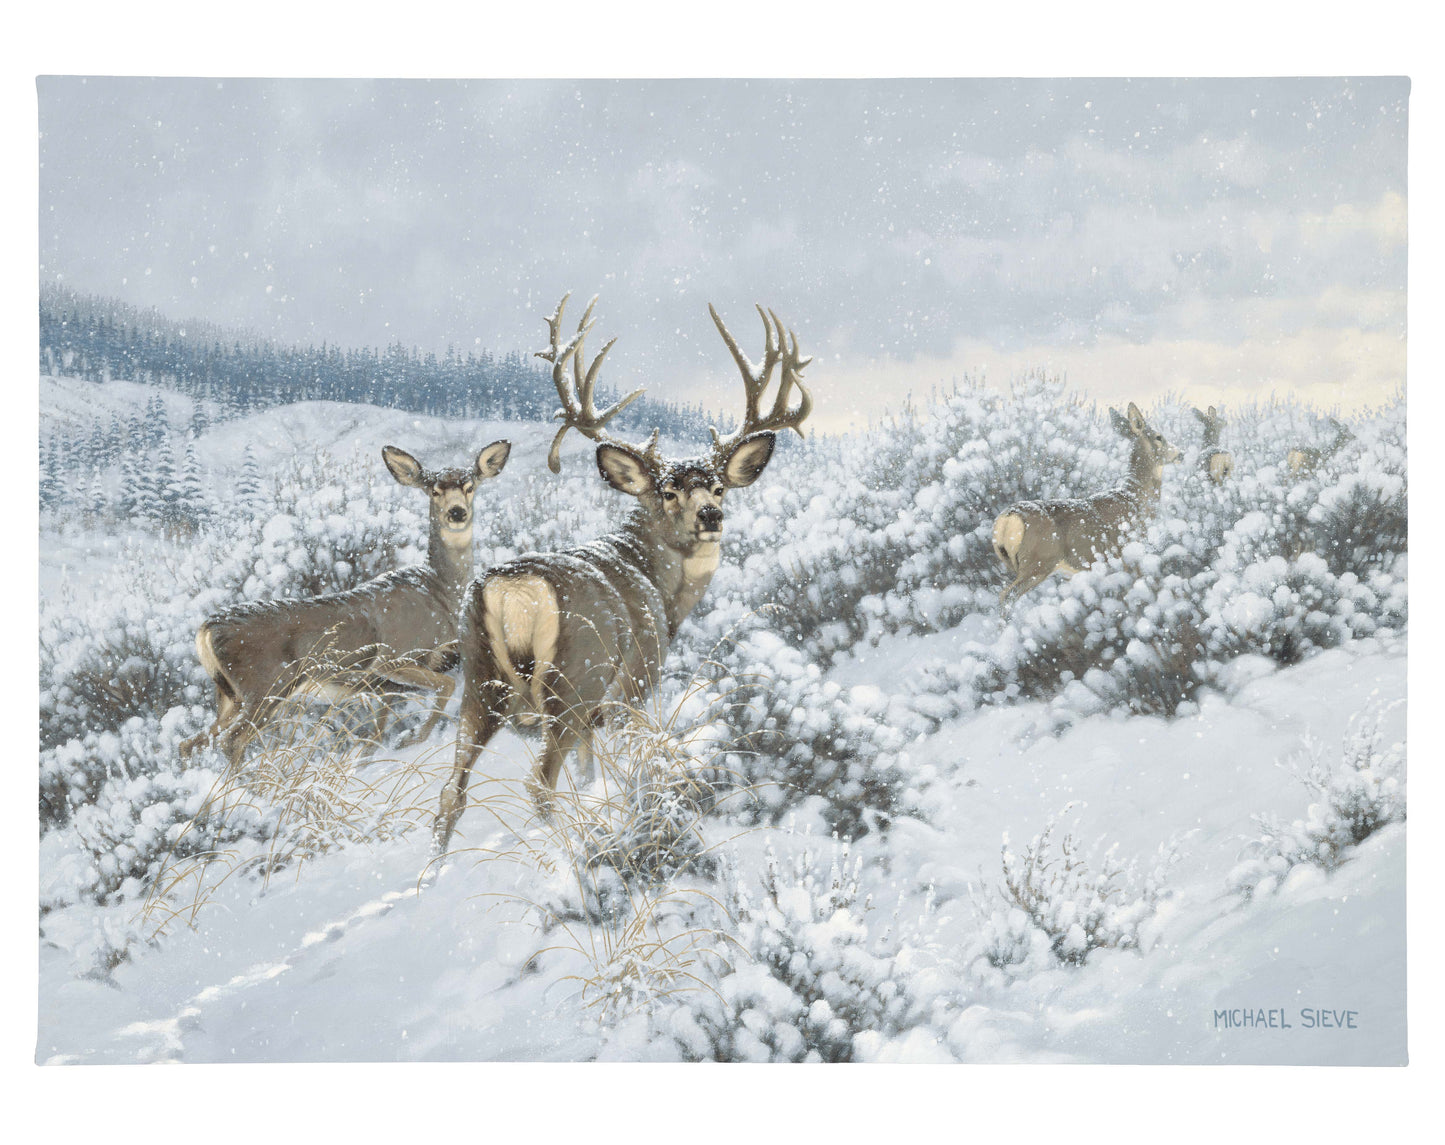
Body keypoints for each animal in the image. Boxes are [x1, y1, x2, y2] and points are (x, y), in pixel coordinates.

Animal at [178, 441, 512, 771]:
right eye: (434, 490)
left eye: (470, 486)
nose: (457, 512)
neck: (439, 592)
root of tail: (207, 630)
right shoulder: (393, 657)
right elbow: (446, 686)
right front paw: (411, 738)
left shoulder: (384, 685)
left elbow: (377, 731)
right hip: (267, 685)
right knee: (231, 741)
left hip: (231, 696)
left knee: (190, 743)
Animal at [430, 293, 811, 854]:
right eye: (668, 491)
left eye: (719, 487)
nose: (711, 516)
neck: (659, 586)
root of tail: (514, 587)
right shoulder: (634, 686)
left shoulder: (592, 716)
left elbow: (590, 774)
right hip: (575, 679)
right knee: (538, 784)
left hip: (478, 679)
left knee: (450, 795)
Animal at [992, 402, 1181, 614]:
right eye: (1159, 437)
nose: (1180, 453)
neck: (1136, 498)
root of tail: (1007, 518)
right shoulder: (1129, 552)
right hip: (1039, 561)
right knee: (1007, 596)